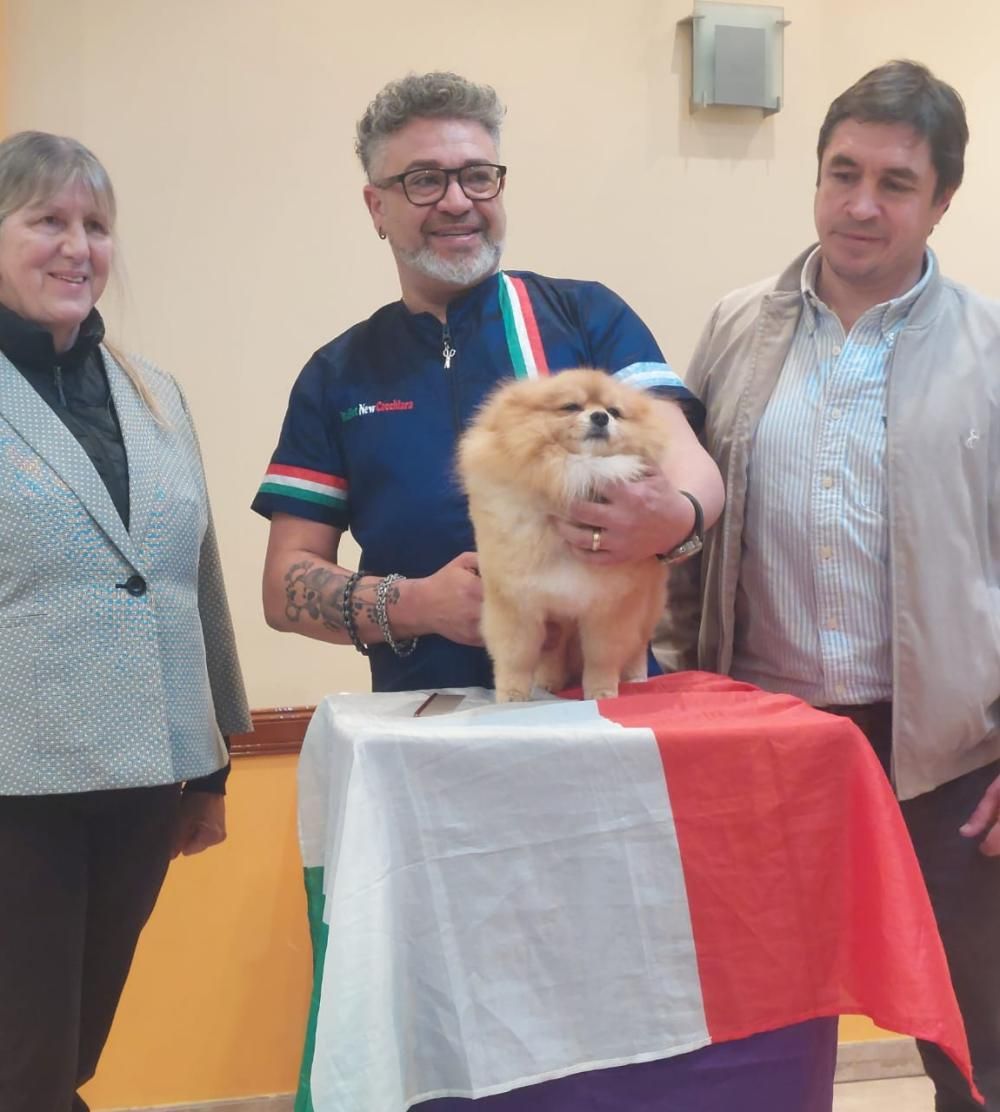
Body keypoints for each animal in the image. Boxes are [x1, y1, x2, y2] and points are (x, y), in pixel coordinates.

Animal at [457, 368, 671, 703]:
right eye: (571, 407)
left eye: (614, 412)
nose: (600, 417)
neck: (575, 474)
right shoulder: (516, 604)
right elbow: (515, 657)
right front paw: (511, 695)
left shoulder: (610, 608)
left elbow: (602, 658)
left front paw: (601, 693)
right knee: (553, 653)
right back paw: (549, 683)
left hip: (647, 605)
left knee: (636, 646)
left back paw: (636, 678)